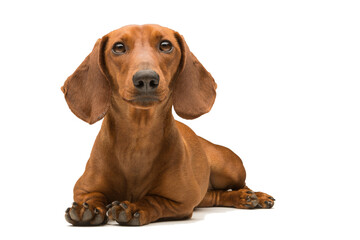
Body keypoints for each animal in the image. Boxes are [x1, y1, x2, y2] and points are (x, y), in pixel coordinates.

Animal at [62, 23, 276, 225]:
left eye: (165, 45)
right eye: (119, 47)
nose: (146, 78)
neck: (137, 139)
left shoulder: (182, 200)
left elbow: (154, 200)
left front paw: (134, 208)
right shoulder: (83, 189)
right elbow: (92, 197)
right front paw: (88, 209)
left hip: (230, 167)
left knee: (243, 185)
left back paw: (253, 196)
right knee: (216, 196)